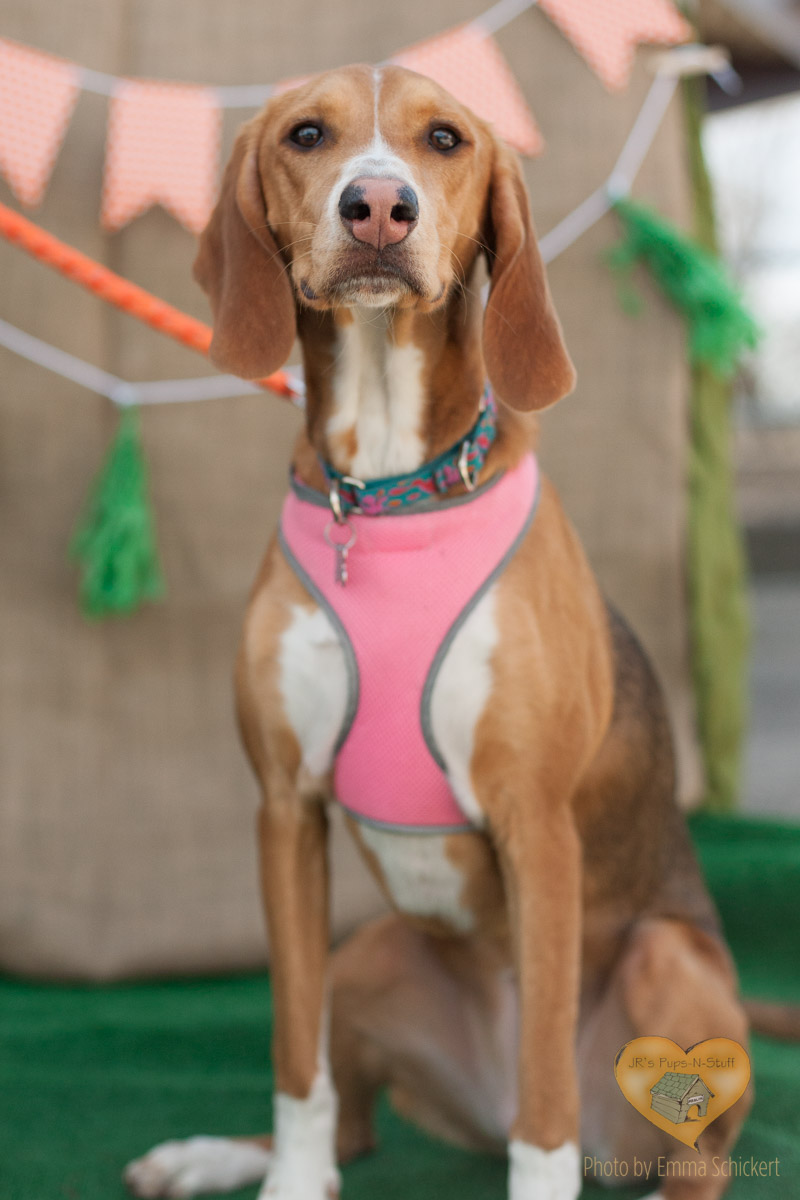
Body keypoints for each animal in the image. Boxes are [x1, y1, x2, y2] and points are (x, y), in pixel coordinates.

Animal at [125, 64, 757, 1200]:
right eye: (307, 135)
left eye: (445, 140)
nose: (379, 206)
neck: (385, 491)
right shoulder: (284, 810)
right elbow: (296, 1064)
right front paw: (285, 1182)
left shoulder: (535, 828)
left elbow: (545, 1097)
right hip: (370, 951)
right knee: (353, 1126)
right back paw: (215, 1158)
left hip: (665, 962)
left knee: (682, 1150)